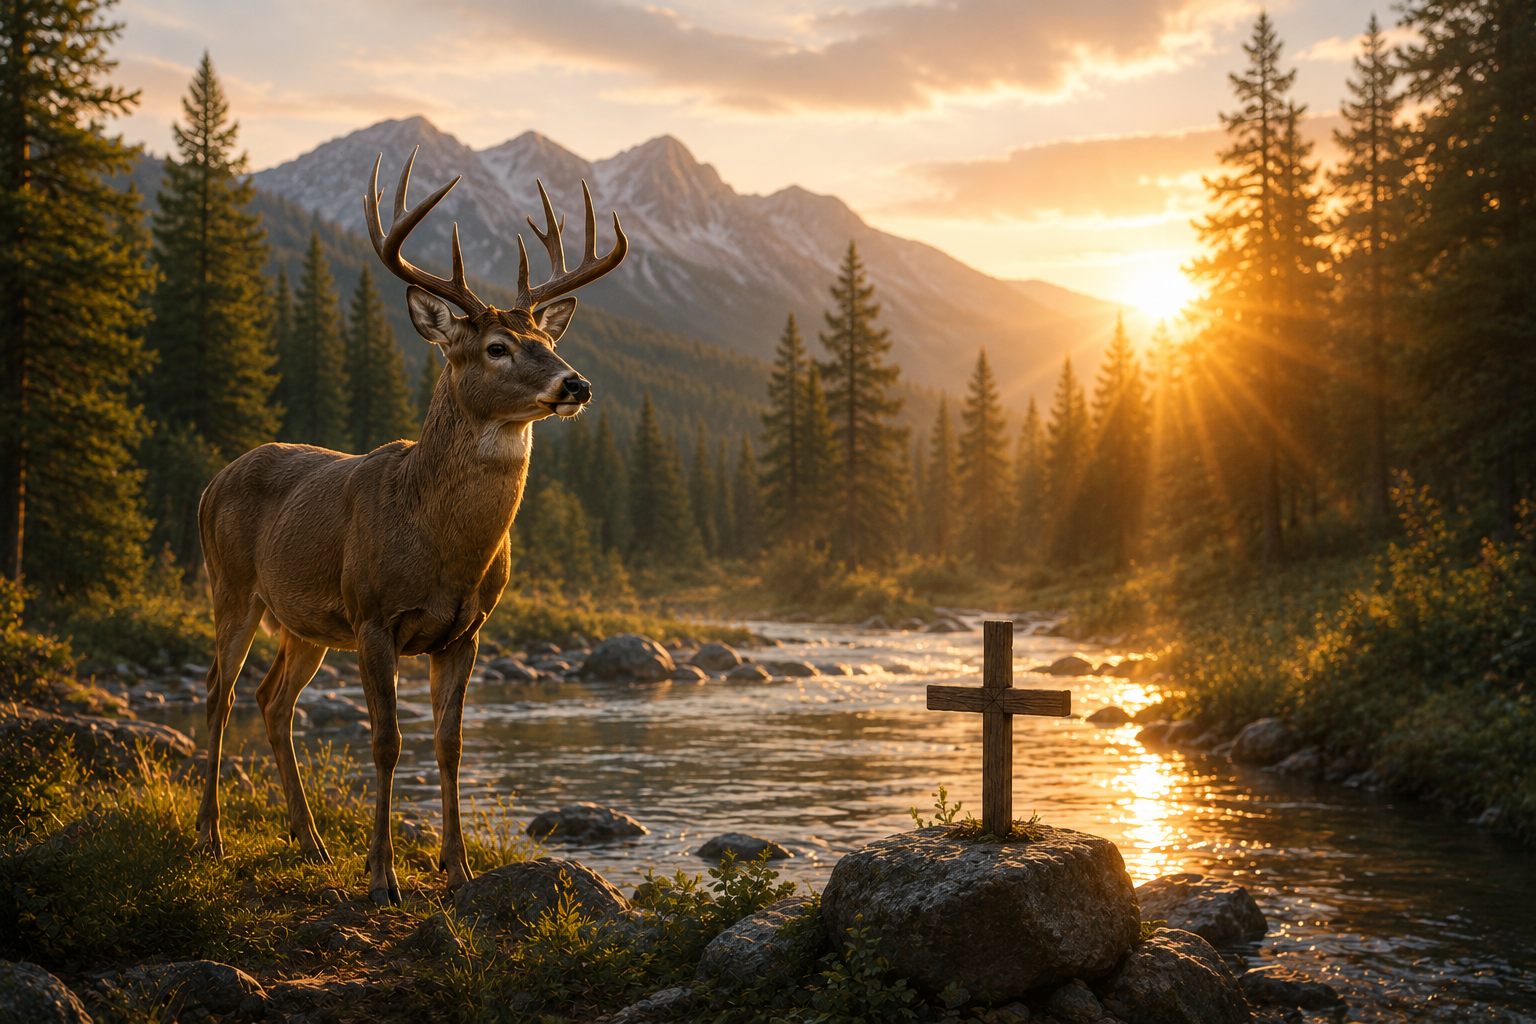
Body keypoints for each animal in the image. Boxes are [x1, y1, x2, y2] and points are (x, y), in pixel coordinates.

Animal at [193, 147, 626, 905]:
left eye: (545, 339)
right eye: (496, 347)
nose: (575, 384)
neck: (442, 545)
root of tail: (212, 482)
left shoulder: (466, 630)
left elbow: (449, 745)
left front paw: (458, 869)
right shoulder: (373, 615)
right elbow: (387, 742)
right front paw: (383, 877)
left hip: (304, 623)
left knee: (272, 701)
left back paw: (310, 844)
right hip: (233, 585)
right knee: (219, 694)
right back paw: (211, 838)